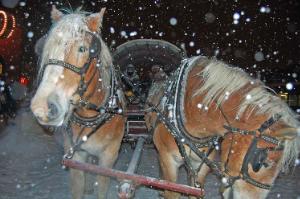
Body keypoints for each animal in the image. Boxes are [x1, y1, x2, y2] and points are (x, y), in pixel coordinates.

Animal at [29, 5, 125, 198]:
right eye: (48, 49)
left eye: (82, 49)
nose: (41, 107)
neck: (89, 114)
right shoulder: (75, 155)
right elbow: (78, 186)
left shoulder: (109, 156)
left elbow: (102, 187)